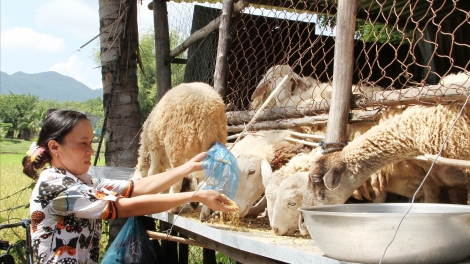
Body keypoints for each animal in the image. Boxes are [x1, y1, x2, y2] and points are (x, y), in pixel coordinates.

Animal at [132, 82, 228, 214]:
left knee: (177, 179)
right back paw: (207, 210)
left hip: (177, 144)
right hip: (216, 143)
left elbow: (153, 172)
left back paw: (172, 208)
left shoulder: (154, 146)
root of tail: (205, 109)